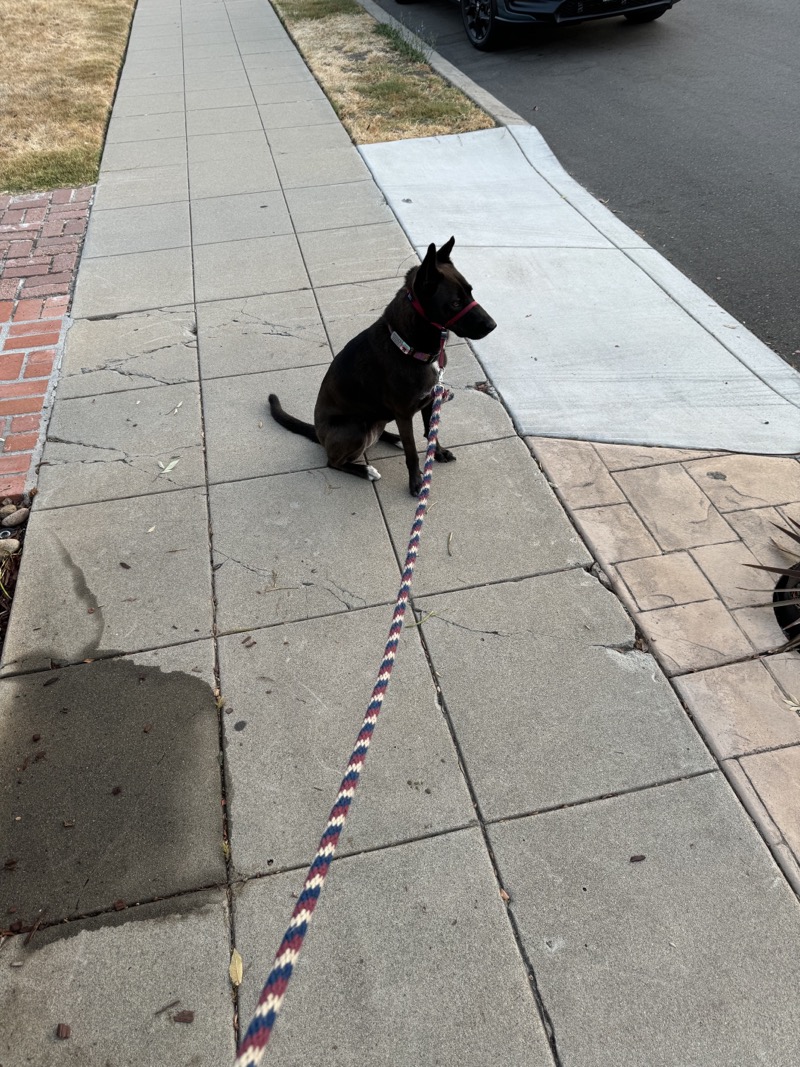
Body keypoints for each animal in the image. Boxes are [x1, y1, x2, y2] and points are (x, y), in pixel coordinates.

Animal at [269, 237, 494, 495]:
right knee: (333, 462)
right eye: (456, 303)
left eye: (470, 292)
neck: (407, 345)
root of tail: (318, 432)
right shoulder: (404, 413)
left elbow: (431, 433)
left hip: (378, 417)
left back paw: (393, 438)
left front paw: (437, 453)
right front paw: (417, 483)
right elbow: (412, 453)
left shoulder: (430, 400)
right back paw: (364, 469)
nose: (493, 325)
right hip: (355, 428)